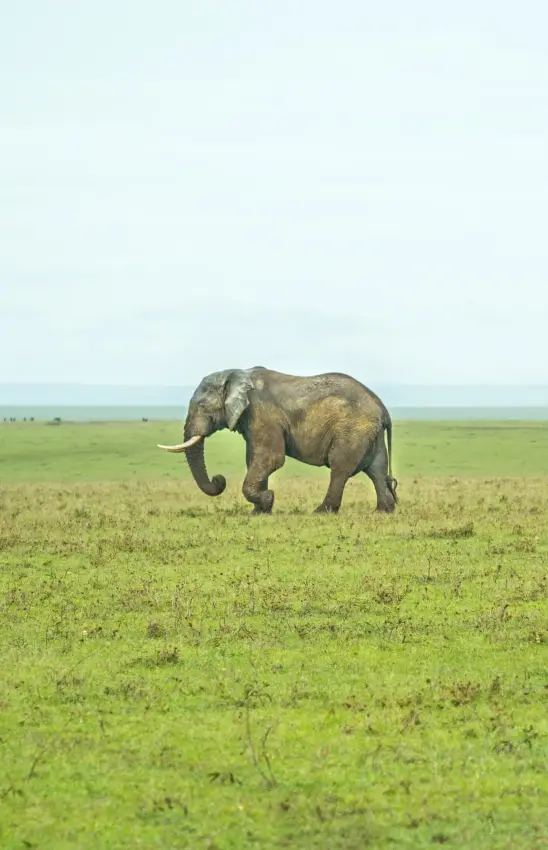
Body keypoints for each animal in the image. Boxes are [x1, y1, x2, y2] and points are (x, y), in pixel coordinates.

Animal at [157, 366, 398, 514]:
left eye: (202, 406)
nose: (219, 479)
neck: (236, 374)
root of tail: (383, 409)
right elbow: (254, 459)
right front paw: (259, 511)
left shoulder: (262, 413)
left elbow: (270, 458)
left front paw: (268, 499)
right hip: (370, 434)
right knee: (377, 470)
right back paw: (383, 511)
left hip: (352, 430)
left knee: (340, 468)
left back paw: (320, 512)